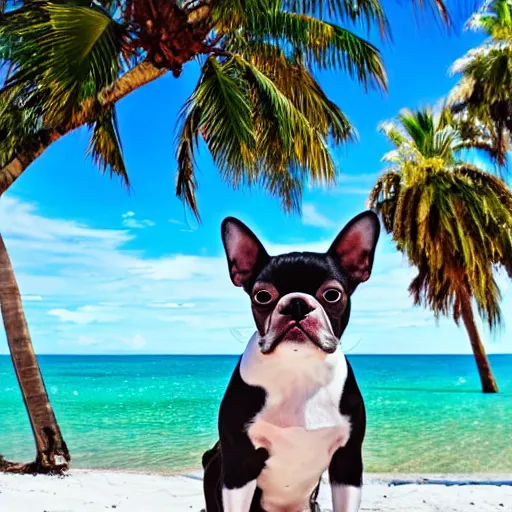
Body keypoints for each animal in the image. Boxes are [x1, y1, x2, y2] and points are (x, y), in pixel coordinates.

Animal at [203, 211, 380, 512]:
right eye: (262, 296)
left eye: (332, 294)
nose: (297, 303)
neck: (298, 367)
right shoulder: (239, 465)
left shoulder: (348, 462)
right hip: (216, 464)